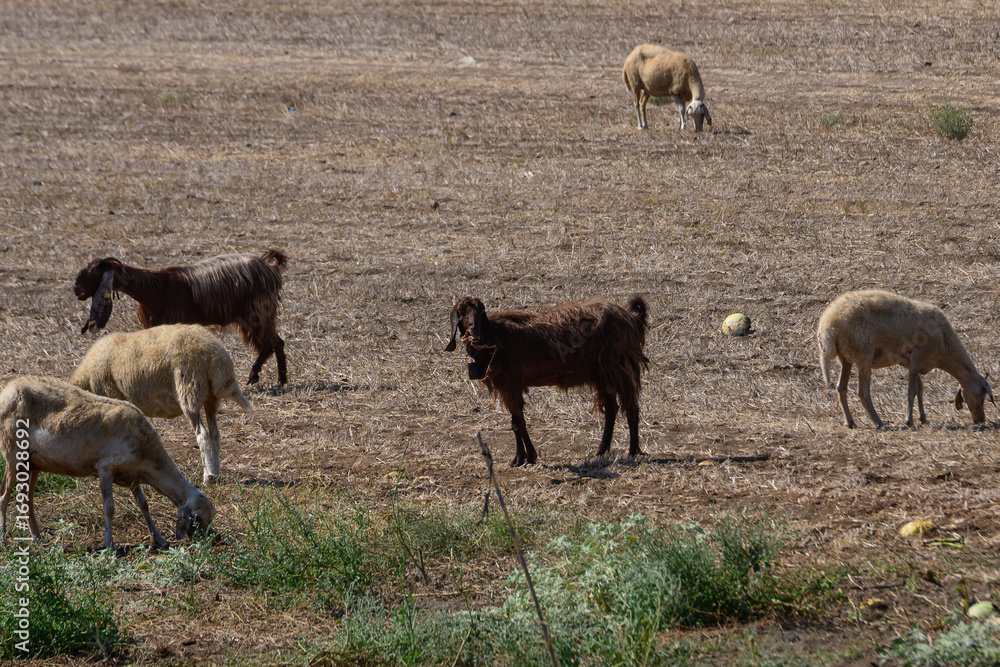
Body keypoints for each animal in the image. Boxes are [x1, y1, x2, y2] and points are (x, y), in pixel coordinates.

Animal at [0, 376, 215, 550]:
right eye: (198, 518)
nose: (208, 541)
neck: (146, 451)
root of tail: (7, 389)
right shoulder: (105, 467)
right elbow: (109, 507)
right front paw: (108, 544)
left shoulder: (133, 475)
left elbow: (144, 505)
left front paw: (160, 539)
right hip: (13, 452)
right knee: (4, 496)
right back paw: (4, 540)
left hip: (33, 462)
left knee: (27, 499)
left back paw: (38, 538)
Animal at [70, 324, 252, 485]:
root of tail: (217, 358)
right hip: (210, 398)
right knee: (215, 434)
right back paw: (216, 473)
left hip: (189, 391)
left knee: (203, 435)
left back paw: (207, 478)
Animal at [73, 249, 289, 385]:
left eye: (93, 273)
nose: (77, 290)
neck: (157, 289)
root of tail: (270, 268)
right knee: (273, 343)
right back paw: (272, 378)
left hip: (257, 312)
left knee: (274, 342)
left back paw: (269, 378)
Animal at [445, 296, 649, 466]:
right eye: (461, 312)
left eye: (481, 312)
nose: (474, 332)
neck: (495, 337)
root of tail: (632, 318)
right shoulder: (511, 386)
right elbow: (518, 421)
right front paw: (526, 457)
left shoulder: (510, 384)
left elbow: (517, 423)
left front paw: (522, 458)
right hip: (602, 373)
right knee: (611, 408)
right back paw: (601, 451)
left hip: (619, 367)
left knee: (630, 406)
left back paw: (632, 451)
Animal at [817, 289, 994, 429]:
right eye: (982, 397)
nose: (980, 420)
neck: (944, 345)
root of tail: (828, 327)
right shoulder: (916, 359)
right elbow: (912, 391)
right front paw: (909, 421)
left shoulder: (911, 363)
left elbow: (920, 389)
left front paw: (923, 419)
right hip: (863, 355)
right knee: (863, 392)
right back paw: (879, 422)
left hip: (845, 358)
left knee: (841, 388)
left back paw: (850, 422)